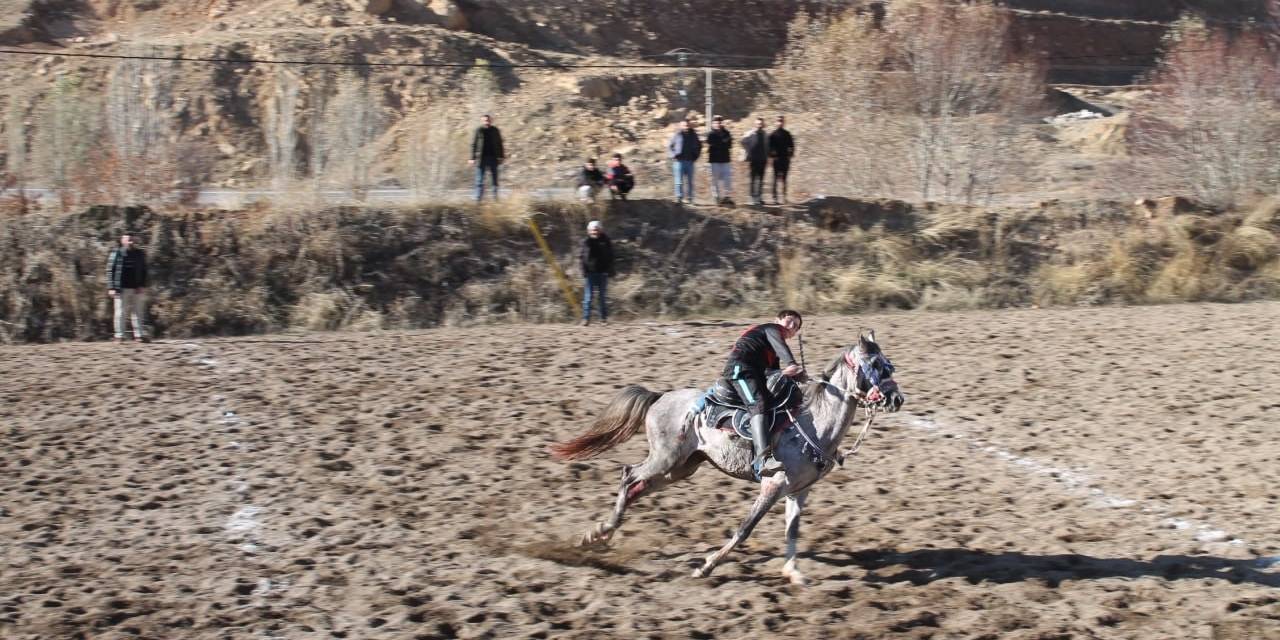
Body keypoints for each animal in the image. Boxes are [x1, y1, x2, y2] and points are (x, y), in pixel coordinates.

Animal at [547, 330, 901, 586]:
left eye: (890, 365)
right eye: (876, 366)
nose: (897, 398)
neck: (814, 421)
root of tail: (660, 396)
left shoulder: (799, 491)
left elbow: (792, 531)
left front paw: (793, 573)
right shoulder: (773, 485)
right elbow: (744, 530)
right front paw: (706, 567)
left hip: (680, 468)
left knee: (636, 487)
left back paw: (598, 534)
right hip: (664, 459)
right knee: (628, 475)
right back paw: (602, 531)